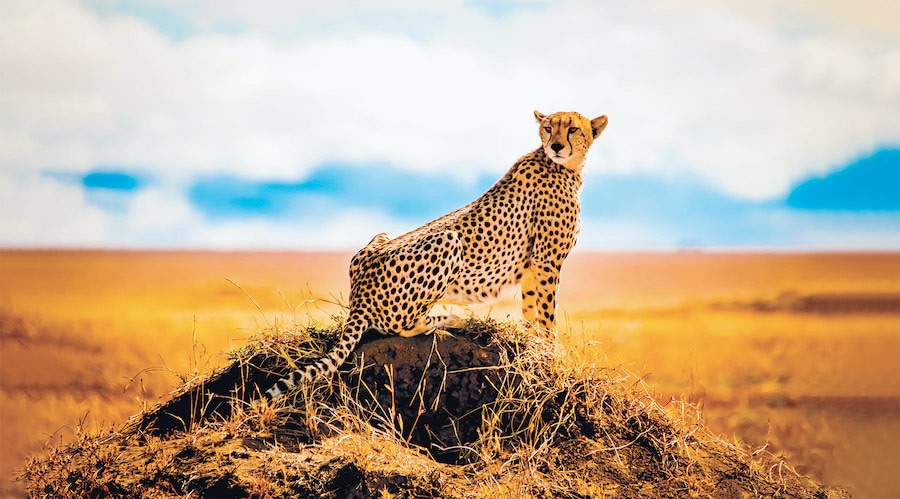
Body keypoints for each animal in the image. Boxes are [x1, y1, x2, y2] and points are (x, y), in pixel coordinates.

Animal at [262, 110, 608, 399]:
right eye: (548, 128)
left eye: (573, 128)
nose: (557, 146)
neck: (564, 167)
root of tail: (358, 295)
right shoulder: (547, 261)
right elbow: (547, 317)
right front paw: (552, 357)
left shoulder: (533, 267)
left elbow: (532, 312)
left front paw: (535, 349)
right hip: (448, 240)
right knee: (403, 325)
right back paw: (448, 318)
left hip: (381, 237)